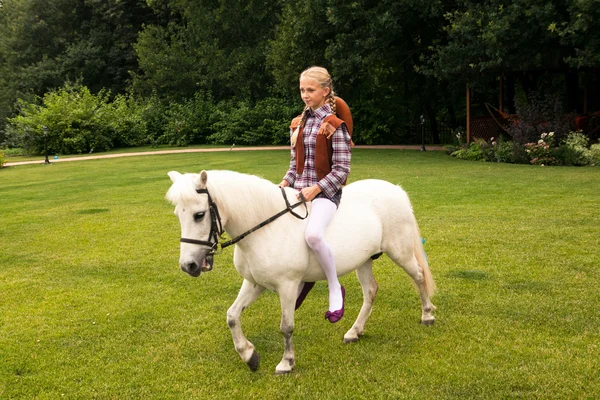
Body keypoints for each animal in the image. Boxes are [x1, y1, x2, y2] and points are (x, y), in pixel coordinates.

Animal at [166, 170, 434, 374]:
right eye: (177, 215)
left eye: (199, 215)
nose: (188, 265)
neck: (266, 228)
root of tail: (396, 190)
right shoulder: (254, 283)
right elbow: (232, 316)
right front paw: (249, 355)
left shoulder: (288, 286)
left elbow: (286, 326)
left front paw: (286, 362)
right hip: (364, 261)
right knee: (370, 291)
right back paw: (354, 332)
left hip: (400, 252)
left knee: (419, 276)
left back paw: (427, 315)